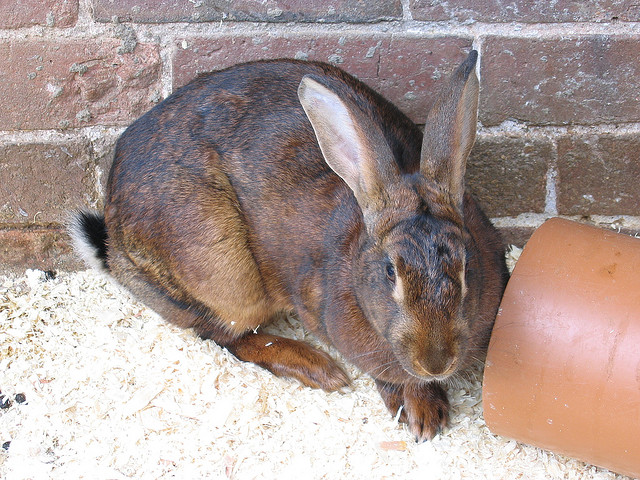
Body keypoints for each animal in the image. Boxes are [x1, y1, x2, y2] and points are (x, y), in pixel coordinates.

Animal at [69, 50, 510, 440]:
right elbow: (384, 374)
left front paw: (427, 410)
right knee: (223, 335)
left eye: (467, 265)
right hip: (226, 274)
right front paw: (420, 412)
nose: (436, 362)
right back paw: (317, 367)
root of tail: (114, 244)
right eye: (390, 271)